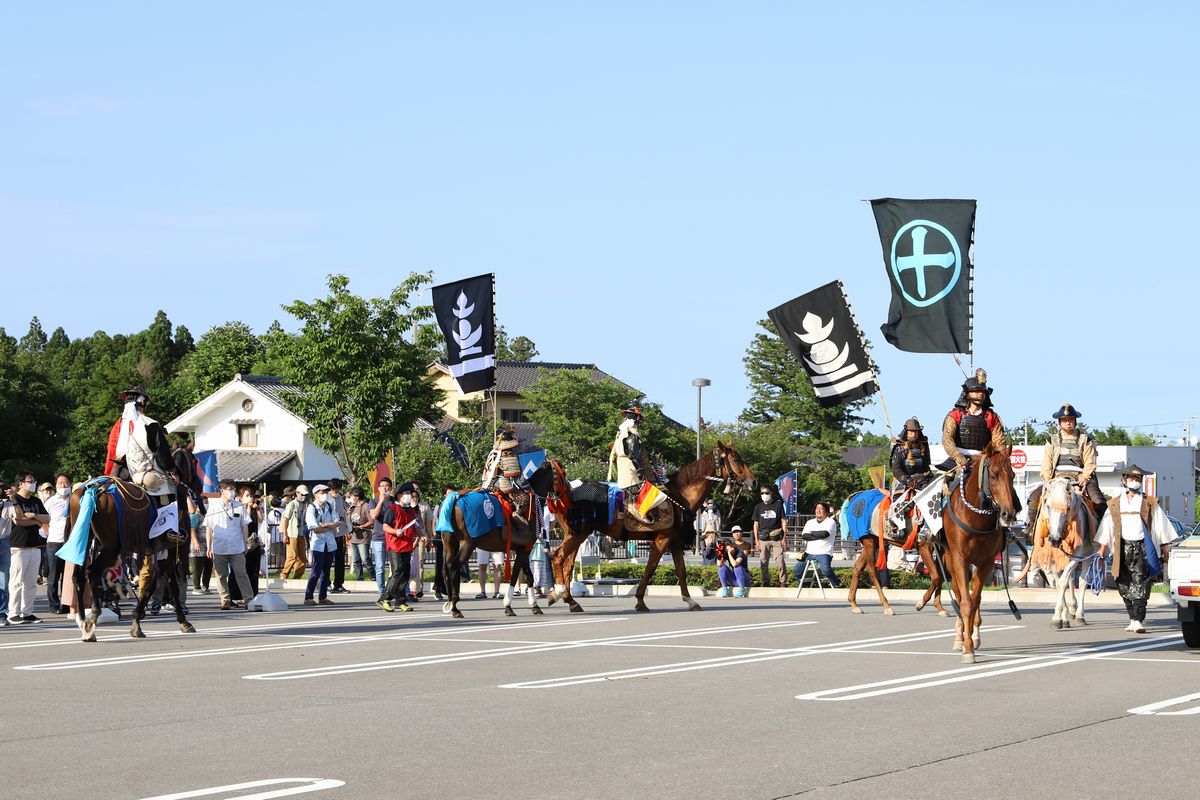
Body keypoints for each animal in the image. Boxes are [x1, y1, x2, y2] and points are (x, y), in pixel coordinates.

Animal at [66, 450, 198, 642]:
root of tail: (90, 489)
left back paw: (83, 622)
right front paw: (183, 621)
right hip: (110, 548)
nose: (198, 487)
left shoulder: (154, 552)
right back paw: (92, 619)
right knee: (92, 572)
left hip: (83, 544)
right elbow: (166, 583)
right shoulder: (169, 551)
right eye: (195, 461)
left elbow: (150, 583)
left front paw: (137, 620)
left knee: (78, 577)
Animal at [549, 443, 753, 614]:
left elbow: (681, 571)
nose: (754, 481)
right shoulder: (662, 539)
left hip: (576, 534)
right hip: (577, 533)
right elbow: (650, 568)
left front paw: (690, 600)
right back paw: (558, 593)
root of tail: (567, 489)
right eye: (735, 458)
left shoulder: (675, 542)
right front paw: (640, 601)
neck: (680, 496)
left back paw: (571, 600)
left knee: (567, 564)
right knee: (558, 557)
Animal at [844, 484, 945, 618]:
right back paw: (886, 606)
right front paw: (921, 603)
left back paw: (854, 604)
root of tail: (855, 497)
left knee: (858, 567)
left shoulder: (940, 549)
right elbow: (936, 576)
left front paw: (940, 607)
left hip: (873, 540)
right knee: (872, 571)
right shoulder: (925, 547)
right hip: (868, 539)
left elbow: (941, 576)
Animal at [940, 443, 1017, 662]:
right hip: (949, 559)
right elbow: (966, 602)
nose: (1008, 514)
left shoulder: (987, 561)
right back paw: (959, 637)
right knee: (958, 595)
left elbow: (975, 601)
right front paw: (967, 648)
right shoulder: (960, 559)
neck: (976, 518)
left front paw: (973, 639)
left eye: (1013, 475)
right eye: (993, 475)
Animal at [1012, 479, 1099, 628]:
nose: (1054, 539)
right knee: (1072, 579)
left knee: (1082, 581)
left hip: (1088, 554)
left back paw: (1080, 615)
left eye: (1068, 507)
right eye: (1047, 506)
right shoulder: (1053, 558)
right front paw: (1063, 617)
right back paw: (1072, 609)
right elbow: (1059, 583)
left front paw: (1057, 618)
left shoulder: (1077, 555)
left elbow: (1063, 582)